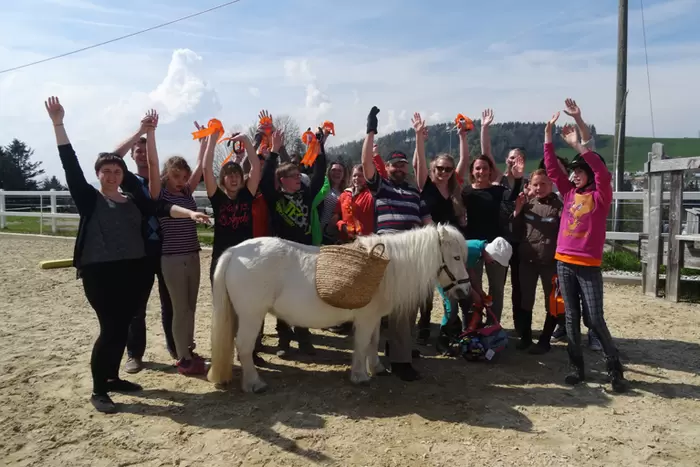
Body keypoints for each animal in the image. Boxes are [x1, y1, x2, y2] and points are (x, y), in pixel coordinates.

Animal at [208, 225, 470, 394]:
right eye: (456, 257)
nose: (465, 291)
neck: (387, 269)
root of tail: (236, 251)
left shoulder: (374, 318)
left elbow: (373, 342)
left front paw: (377, 368)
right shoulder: (365, 318)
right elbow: (362, 344)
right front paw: (360, 376)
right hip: (251, 316)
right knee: (243, 346)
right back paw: (254, 384)